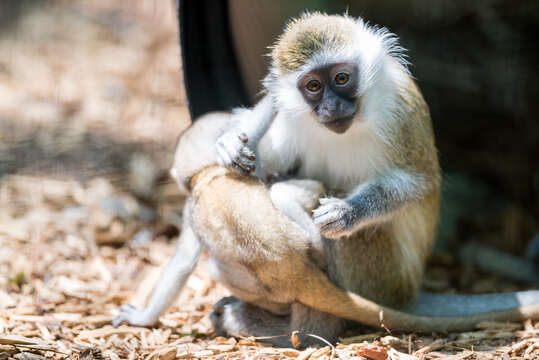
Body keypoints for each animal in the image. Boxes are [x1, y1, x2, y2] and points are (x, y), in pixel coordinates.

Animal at [115, 111, 539, 348]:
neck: (210, 174)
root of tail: (300, 273)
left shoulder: (190, 208)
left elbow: (183, 263)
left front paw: (142, 316)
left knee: (220, 265)